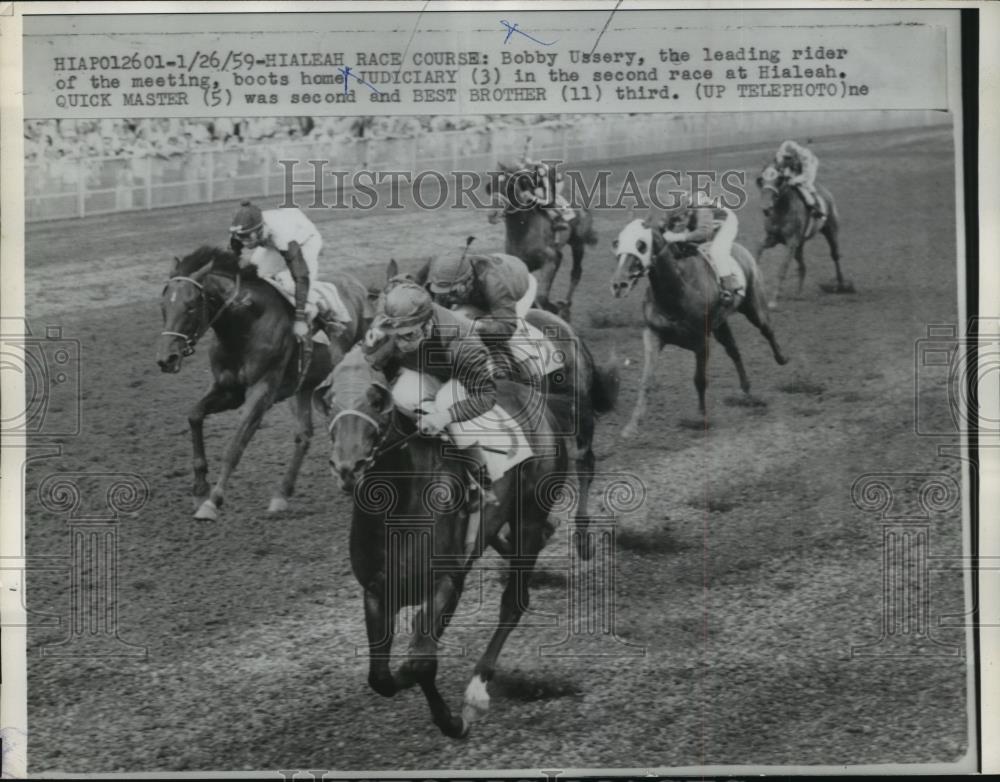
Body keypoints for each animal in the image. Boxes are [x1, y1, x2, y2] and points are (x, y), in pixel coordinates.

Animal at [154, 248, 374, 524]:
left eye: (191, 306)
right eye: (164, 306)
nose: (167, 359)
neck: (245, 325)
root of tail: (359, 287)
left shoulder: (262, 392)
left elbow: (235, 446)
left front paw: (213, 501)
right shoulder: (229, 390)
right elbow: (194, 415)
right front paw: (199, 491)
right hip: (305, 386)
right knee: (304, 435)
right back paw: (282, 494)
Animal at [320, 346, 580, 740]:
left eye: (378, 400)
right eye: (329, 400)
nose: (348, 467)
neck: (398, 505)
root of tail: (530, 393)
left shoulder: (446, 581)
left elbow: (420, 660)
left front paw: (454, 720)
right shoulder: (377, 591)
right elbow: (381, 677)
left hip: (529, 517)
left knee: (514, 602)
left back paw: (477, 690)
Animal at [486, 161, 596, 320]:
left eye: (510, 186)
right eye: (490, 187)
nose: (492, 214)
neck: (523, 231)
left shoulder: (550, 259)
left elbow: (541, 297)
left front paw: (553, 308)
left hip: (577, 244)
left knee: (576, 273)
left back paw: (566, 309)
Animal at [608, 217, 788, 434]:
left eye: (641, 244)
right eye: (617, 243)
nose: (619, 285)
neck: (677, 289)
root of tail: (740, 248)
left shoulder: (701, 341)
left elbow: (700, 380)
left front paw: (701, 417)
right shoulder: (653, 334)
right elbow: (646, 380)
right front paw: (632, 425)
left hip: (753, 306)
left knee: (767, 329)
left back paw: (782, 358)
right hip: (720, 325)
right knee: (734, 350)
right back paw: (746, 389)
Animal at [752, 164, 856, 308]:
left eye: (779, 180)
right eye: (761, 180)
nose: (766, 208)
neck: (781, 210)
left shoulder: (791, 242)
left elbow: (782, 269)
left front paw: (773, 300)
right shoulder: (772, 239)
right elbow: (758, 249)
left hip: (830, 232)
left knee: (835, 256)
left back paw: (841, 285)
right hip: (799, 246)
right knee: (803, 266)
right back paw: (798, 293)